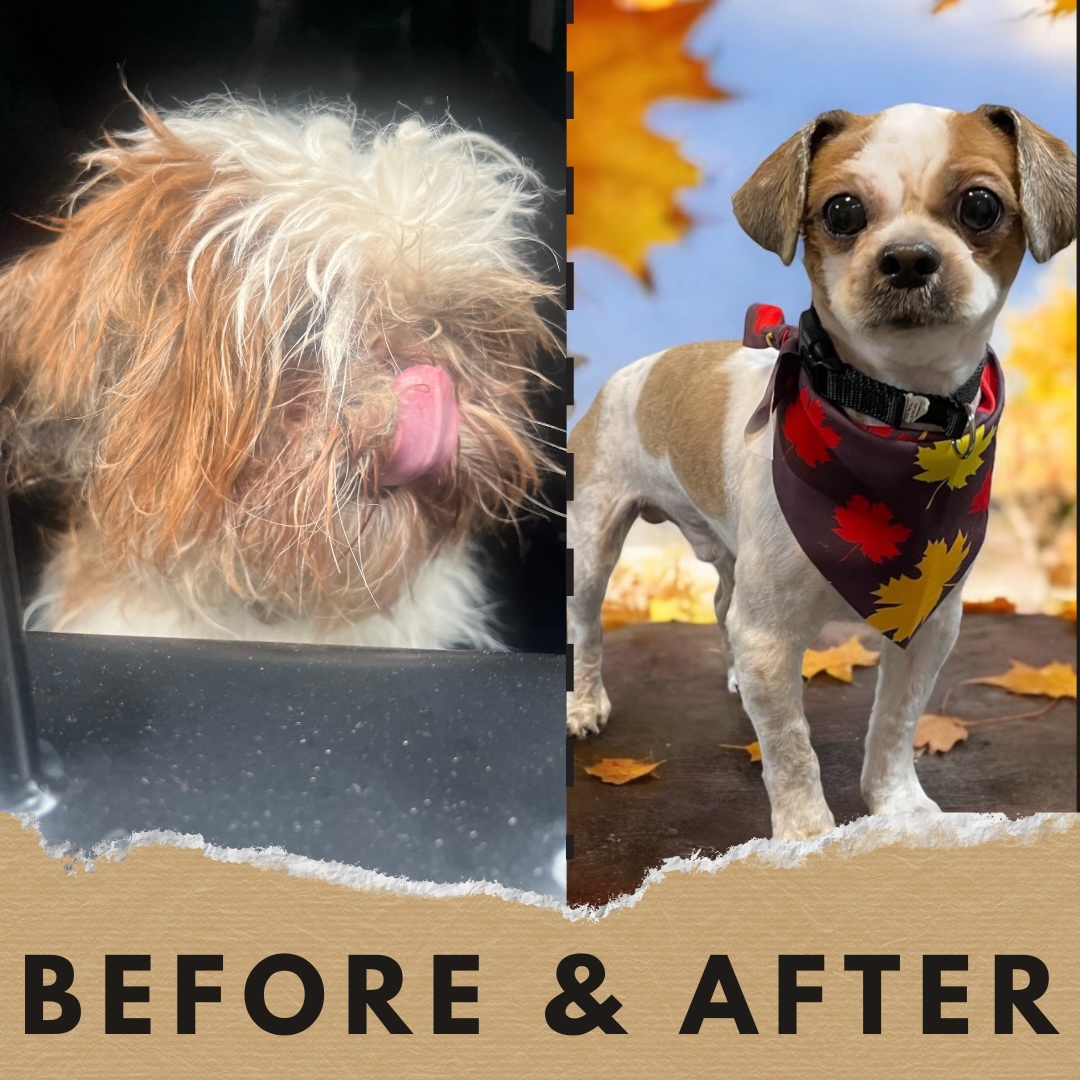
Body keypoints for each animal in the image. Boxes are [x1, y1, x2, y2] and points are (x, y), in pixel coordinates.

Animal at [570, 105, 1075, 838]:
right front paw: (806, 834)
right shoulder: (769, 637)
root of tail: (630, 372)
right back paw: (585, 703)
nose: (907, 256)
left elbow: (893, 724)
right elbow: (789, 748)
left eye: (980, 206)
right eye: (842, 211)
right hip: (593, 550)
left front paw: (898, 805)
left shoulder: (928, 625)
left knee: (721, 606)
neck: (893, 421)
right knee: (587, 628)